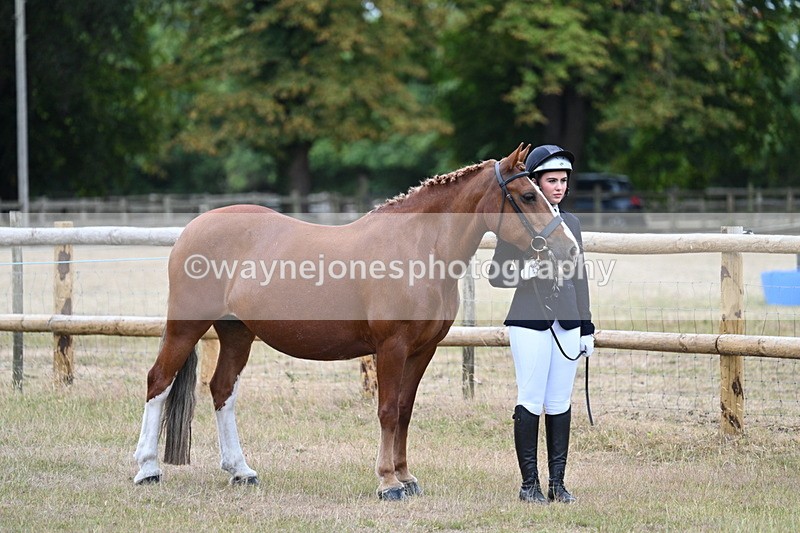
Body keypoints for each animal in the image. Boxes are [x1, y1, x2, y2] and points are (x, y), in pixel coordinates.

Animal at [133, 143, 580, 500]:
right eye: (528, 195)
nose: (569, 249)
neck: (418, 247)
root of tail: (195, 225)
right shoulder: (392, 347)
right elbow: (387, 411)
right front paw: (388, 483)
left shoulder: (423, 351)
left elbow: (404, 411)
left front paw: (406, 477)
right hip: (186, 326)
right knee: (159, 381)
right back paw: (148, 468)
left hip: (237, 333)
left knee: (222, 390)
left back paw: (240, 471)